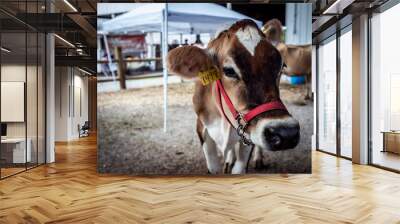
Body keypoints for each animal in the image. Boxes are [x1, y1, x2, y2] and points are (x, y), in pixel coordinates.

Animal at [166, 19, 300, 174]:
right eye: (229, 70)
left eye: (282, 66)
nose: (286, 133)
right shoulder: (202, 127)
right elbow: (213, 167)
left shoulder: (248, 133)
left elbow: (239, 168)